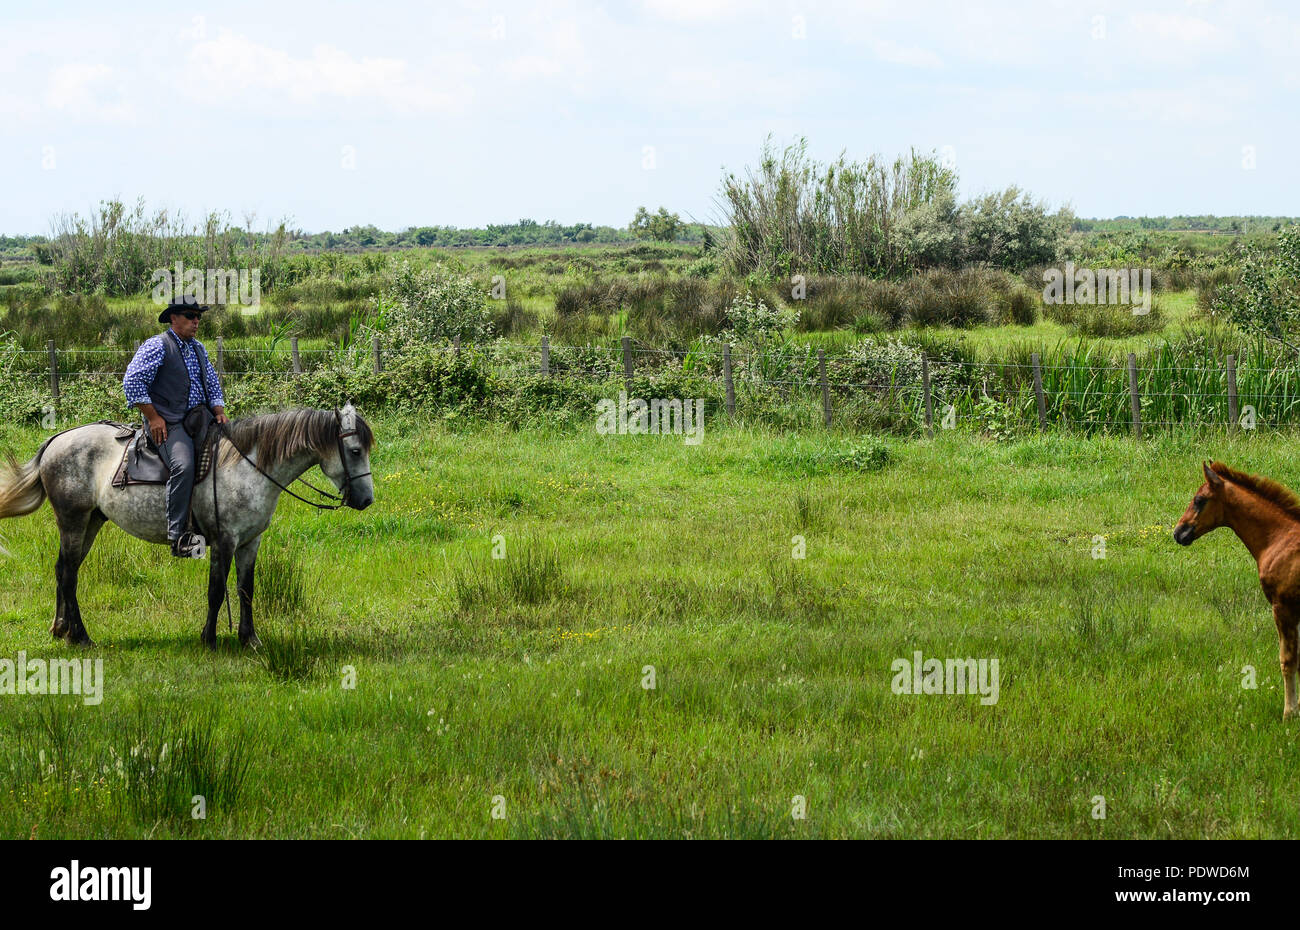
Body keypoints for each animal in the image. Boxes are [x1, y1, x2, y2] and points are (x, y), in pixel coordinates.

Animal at [0, 403, 374, 650]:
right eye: (355, 450)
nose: (367, 500)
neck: (248, 466)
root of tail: (58, 439)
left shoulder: (250, 542)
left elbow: (246, 589)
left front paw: (250, 639)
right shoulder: (224, 540)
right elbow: (216, 590)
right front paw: (209, 639)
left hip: (91, 520)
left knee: (65, 569)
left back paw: (62, 629)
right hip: (73, 520)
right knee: (68, 574)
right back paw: (80, 636)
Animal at [1175, 463, 1300, 717]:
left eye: (1199, 500)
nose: (1177, 532)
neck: (1279, 538)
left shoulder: (1283, 608)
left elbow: (1287, 660)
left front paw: (1289, 713)